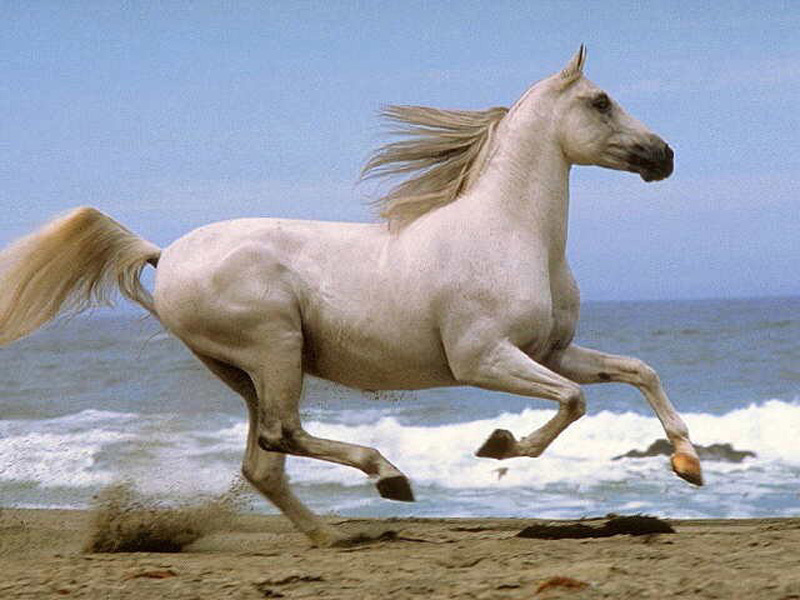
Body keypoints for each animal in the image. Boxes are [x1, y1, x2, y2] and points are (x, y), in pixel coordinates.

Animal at [0, 49, 700, 548]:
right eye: (601, 101)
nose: (664, 155)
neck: (509, 233)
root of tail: (165, 253)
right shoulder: (483, 360)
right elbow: (575, 401)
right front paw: (500, 446)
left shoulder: (550, 350)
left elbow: (638, 371)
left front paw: (688, 463)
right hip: (275, 347)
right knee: (283, 434)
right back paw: (388, 478)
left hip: (244, 371)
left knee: (263, 463)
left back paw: (330, 533)